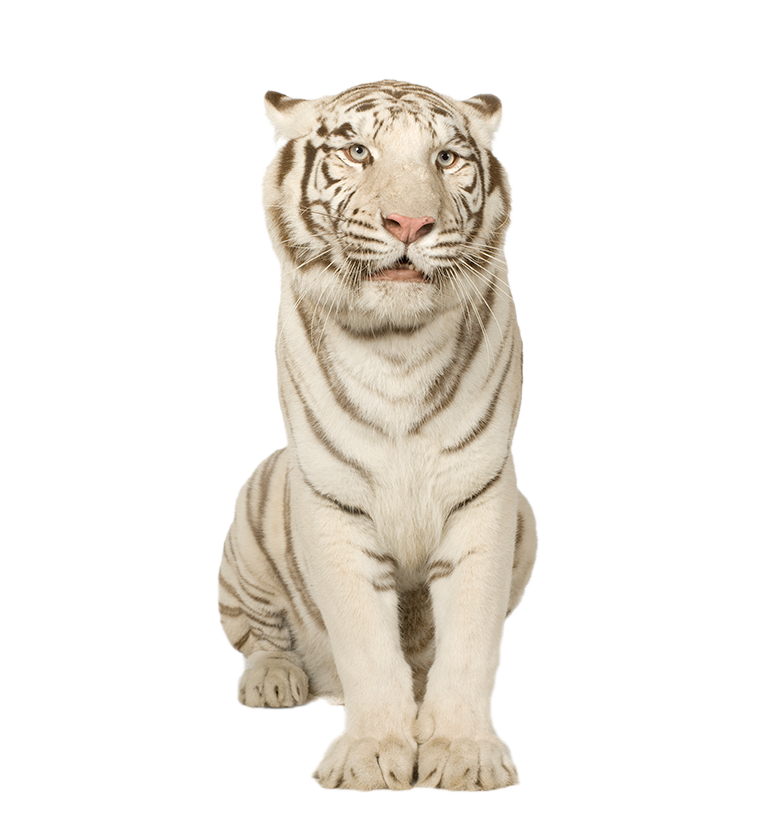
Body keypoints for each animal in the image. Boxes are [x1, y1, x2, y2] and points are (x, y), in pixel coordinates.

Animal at [217, 79, 538, 792]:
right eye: (358, 152)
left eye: (446, 158)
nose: (409, 225)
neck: (397, 344)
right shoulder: (330, 501)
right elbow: (366, 643)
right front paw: (369, 756)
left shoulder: (485, 497)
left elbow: (470, 644)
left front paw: (462, 754)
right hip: (253, 517)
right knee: (257, 634)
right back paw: (274, 681)